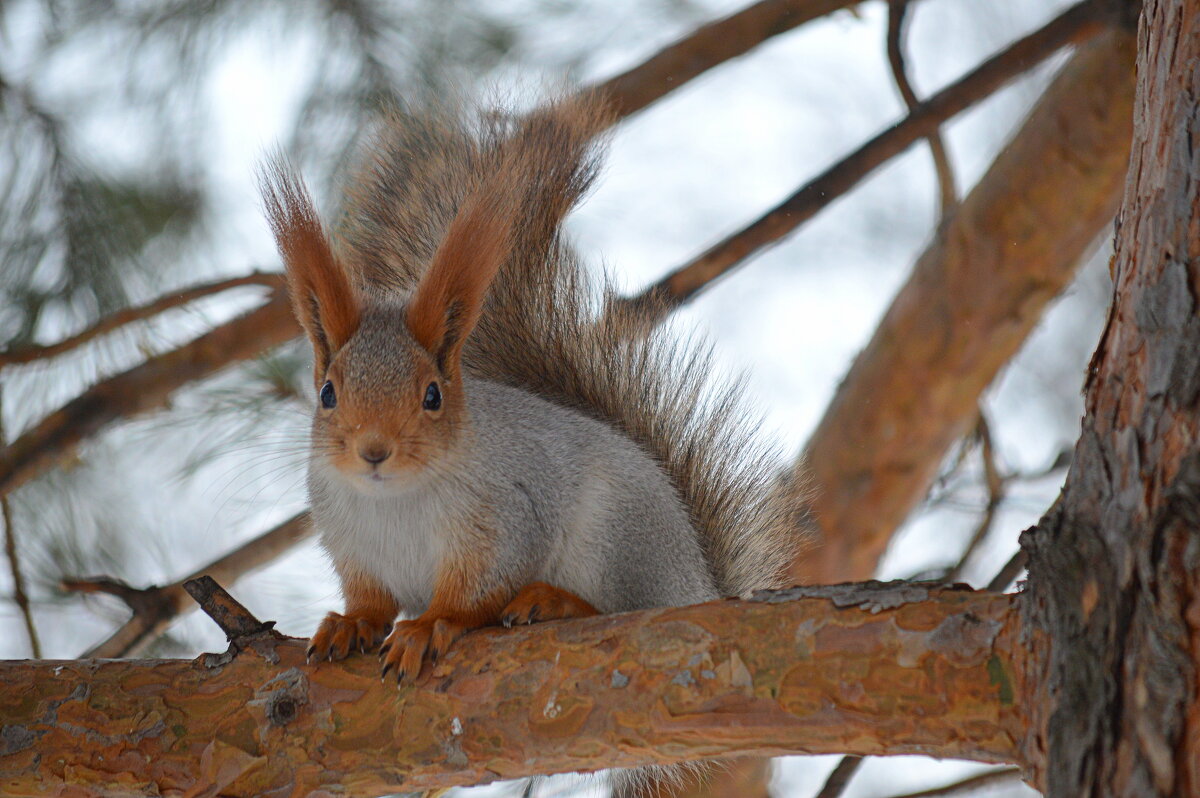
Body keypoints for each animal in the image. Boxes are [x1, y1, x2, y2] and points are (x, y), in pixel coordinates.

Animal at [262, 90, 806, 782]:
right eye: (328, 393)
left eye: (433, 395)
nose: (374, 451)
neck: (395, 500)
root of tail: (701, 585)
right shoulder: (353, 545)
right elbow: (372, 601)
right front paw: (349, 624)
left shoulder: (509, 513)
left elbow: (477, 590)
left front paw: (431, 625)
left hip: (618, 538)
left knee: (626, 613)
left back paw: (557, 603)